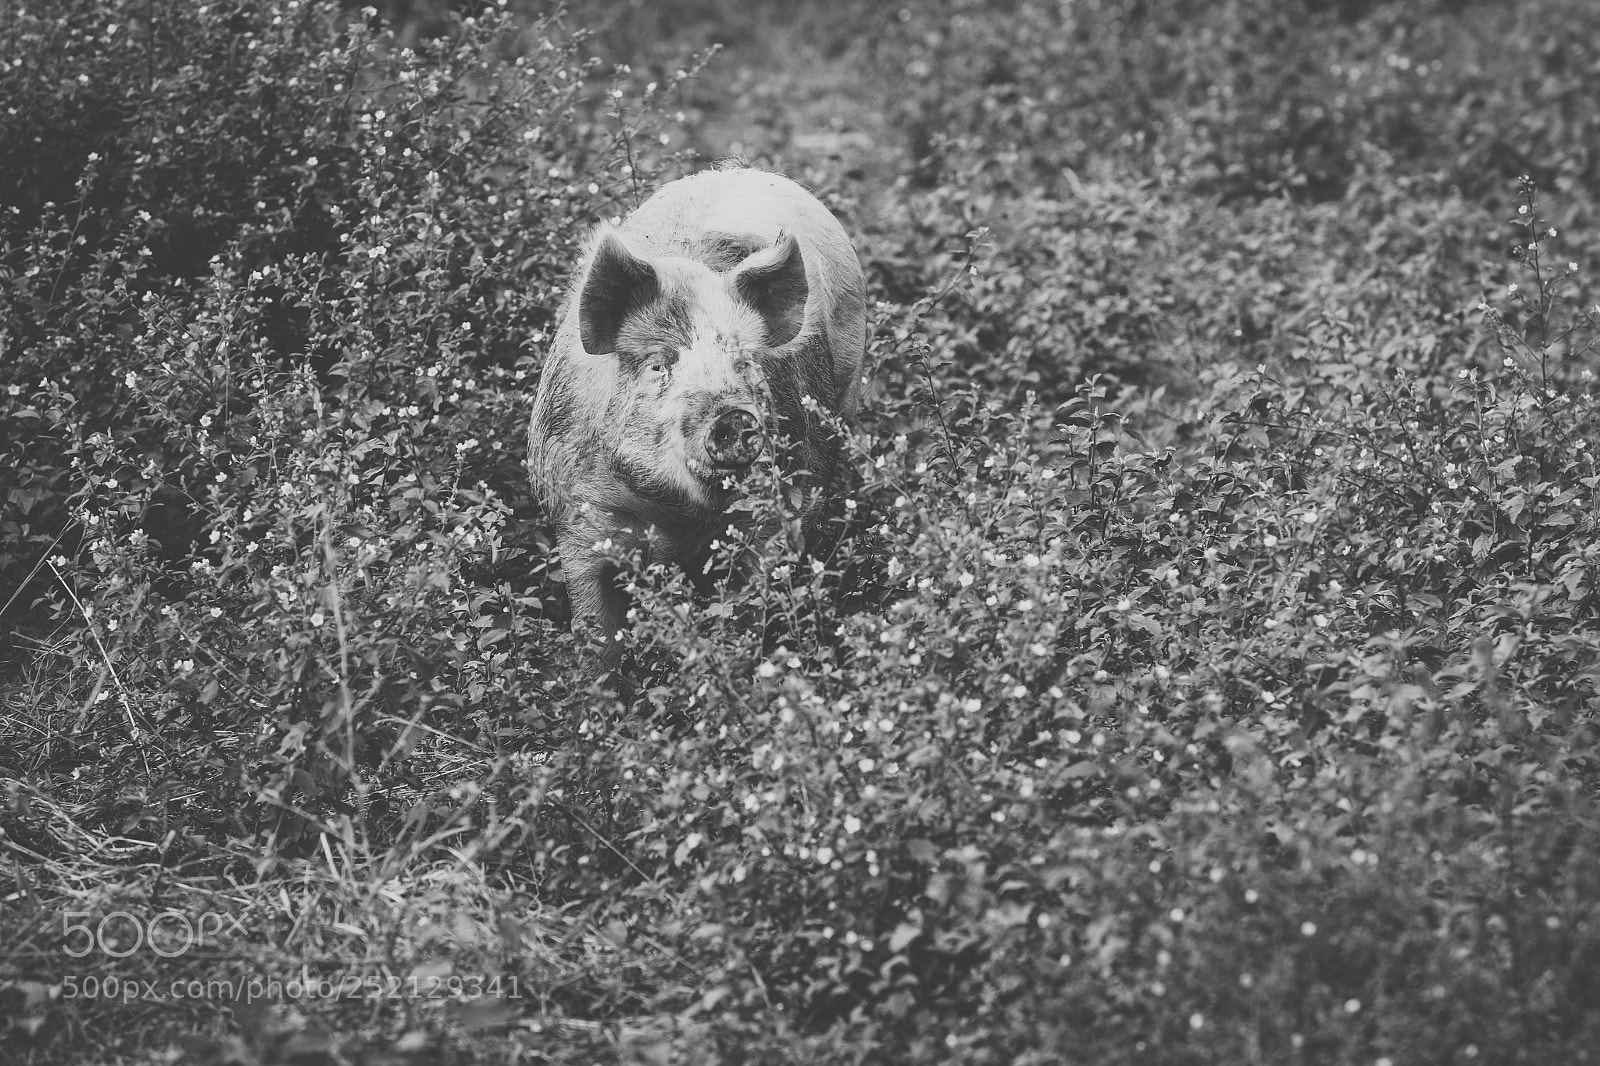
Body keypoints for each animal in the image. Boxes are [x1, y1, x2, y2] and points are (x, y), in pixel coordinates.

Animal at [526, 166, 868, 661]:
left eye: (745, 361)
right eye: (658, 365)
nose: (733, 416)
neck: (674, 514)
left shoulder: (779, 510)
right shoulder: (577, 519)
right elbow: (596, 633)